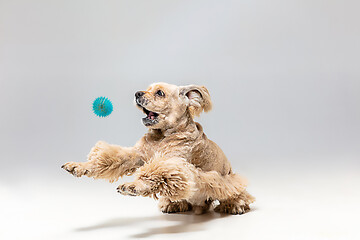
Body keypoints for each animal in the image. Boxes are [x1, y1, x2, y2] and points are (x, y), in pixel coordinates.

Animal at [62, 82, 253, 214]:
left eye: (160, 93)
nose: (137, 93)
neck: (161, 137)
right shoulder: (136, 155)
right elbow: (108, 158)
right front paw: (80, 166)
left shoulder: (172, 164)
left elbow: (154, 174)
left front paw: (134, 185)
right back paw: (173, 203)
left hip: (229, 180)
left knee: (237, 193)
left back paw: (235, 205)